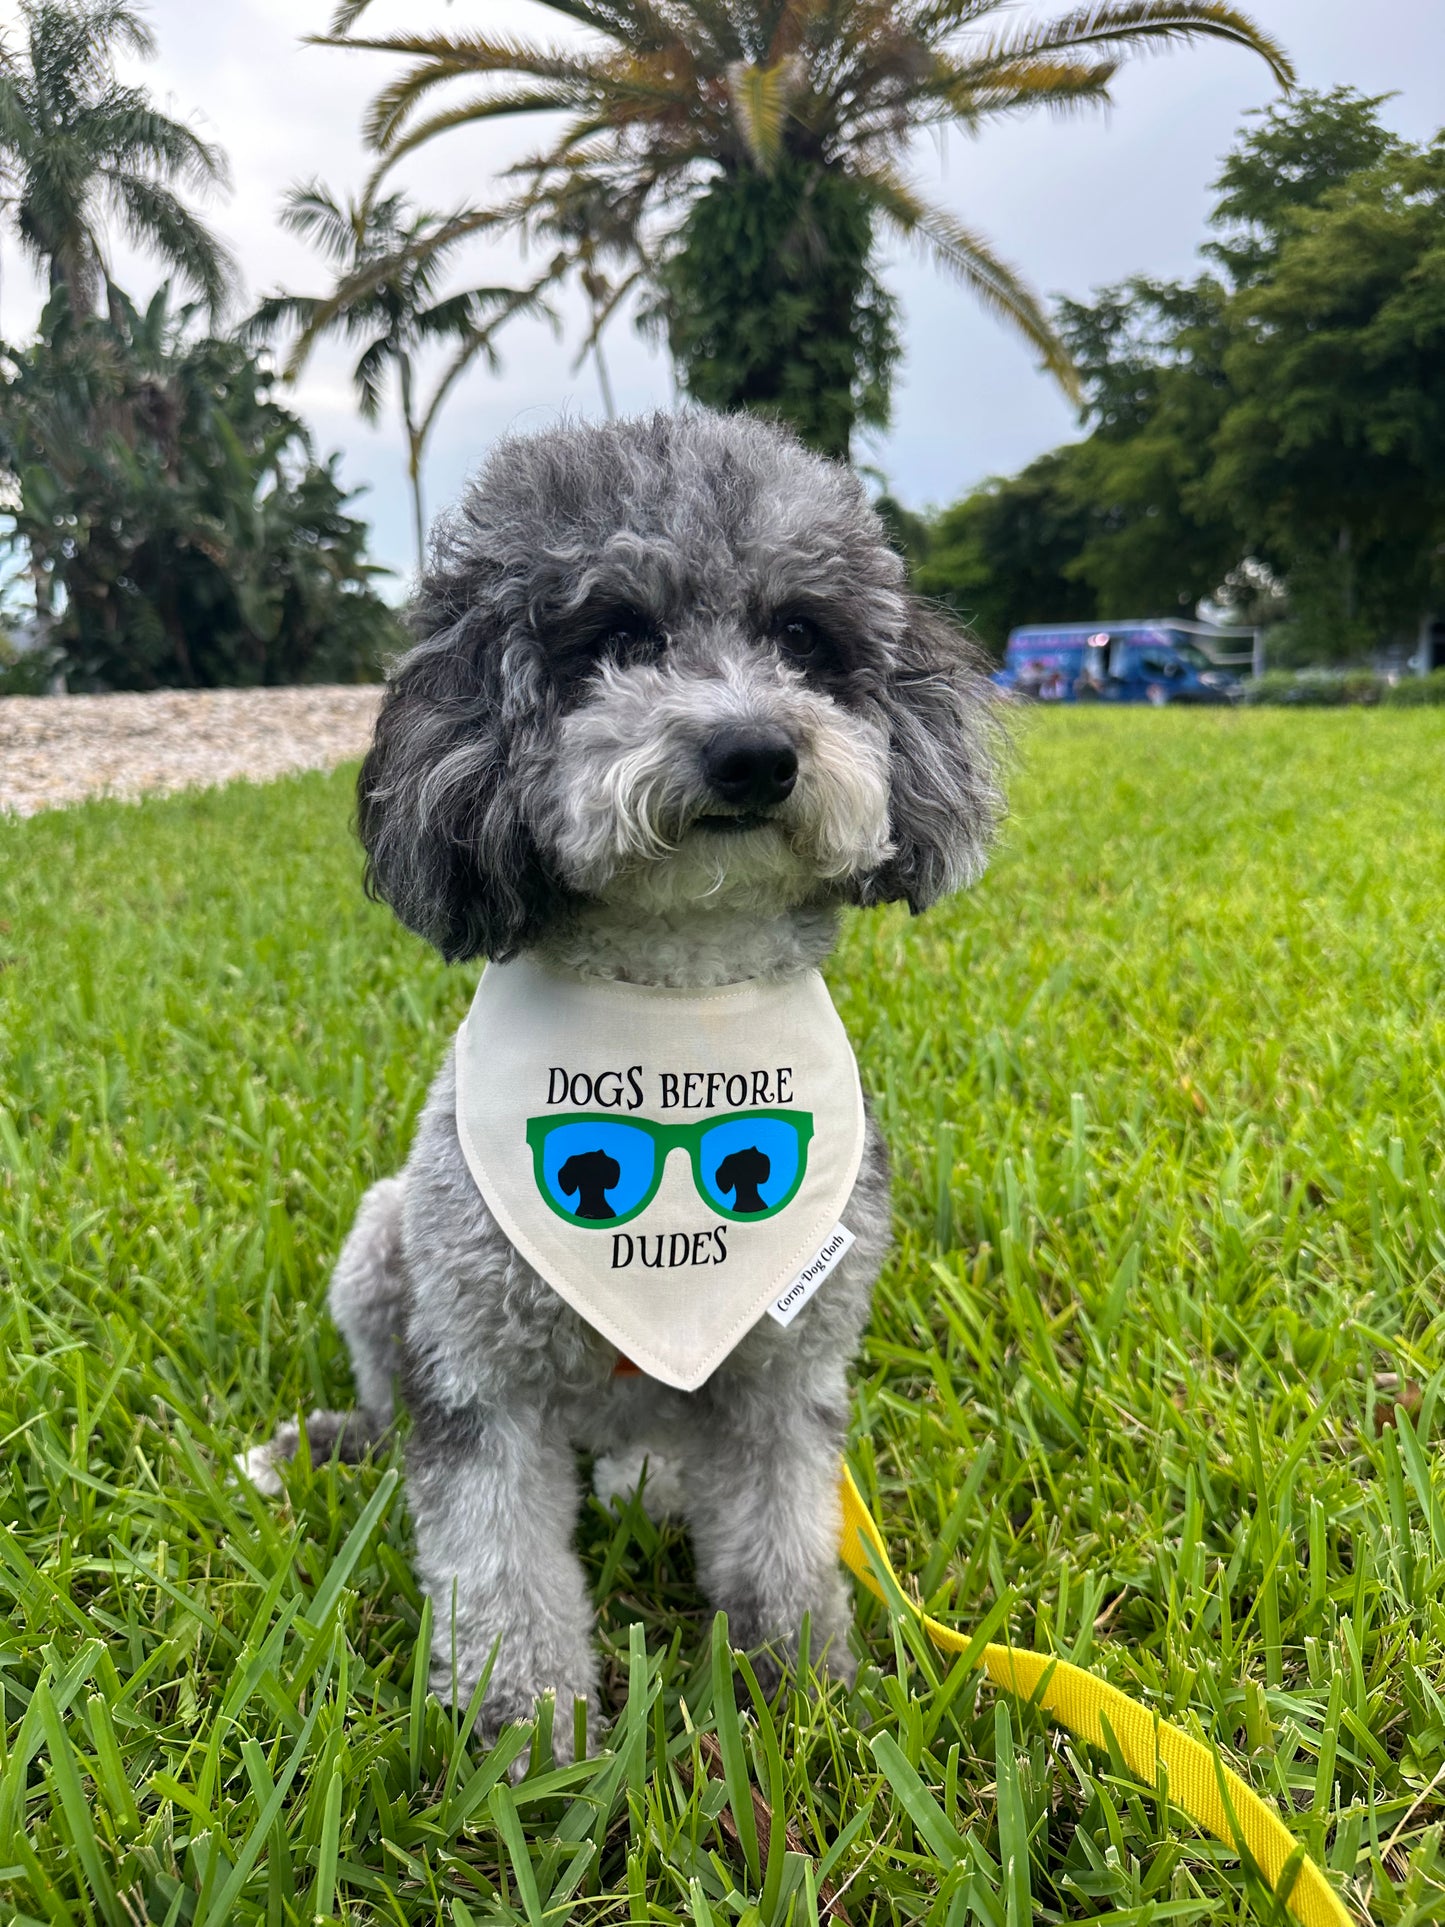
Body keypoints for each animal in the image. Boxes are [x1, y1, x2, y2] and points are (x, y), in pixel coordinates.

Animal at [243, 410, 1001, 1765]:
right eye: (614, 640)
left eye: (800, 636)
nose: (753, 750)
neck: (674, 1010)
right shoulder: (478, 1380)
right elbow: (500, 1573)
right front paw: (528, 1746)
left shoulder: (784, 1367)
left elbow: (781, 1530)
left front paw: (802, 1686)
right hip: (381, 1240)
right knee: (394, 1404)